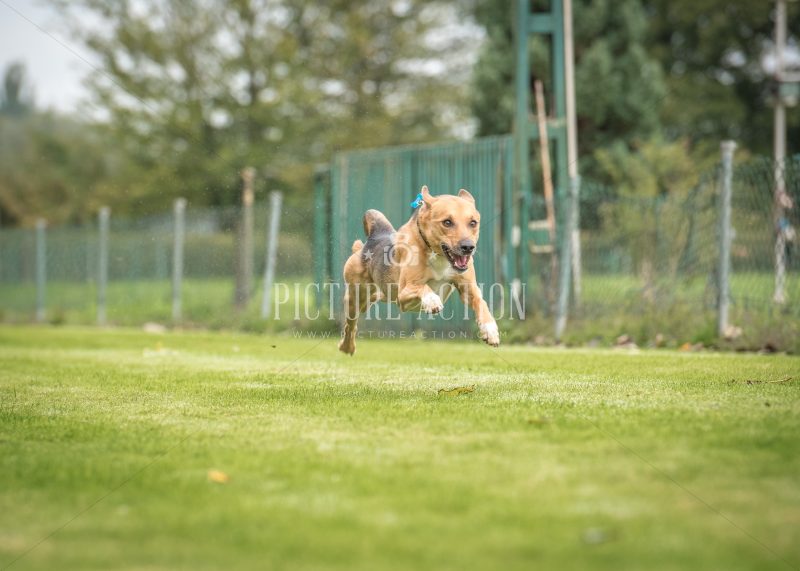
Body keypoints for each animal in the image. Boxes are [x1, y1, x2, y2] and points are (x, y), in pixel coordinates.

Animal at [338, 185, 500, 355]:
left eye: (473, 223)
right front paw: (432, 300)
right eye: (447, 222)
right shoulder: (403, 295)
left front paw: (490, 330)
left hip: (379, 295)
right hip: (356, 297)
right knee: (350, 324)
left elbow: (481, 302)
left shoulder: (469, 288)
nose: (468, 247)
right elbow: (423, 287)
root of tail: (371, 241)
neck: (438, 255)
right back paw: (347, 347)